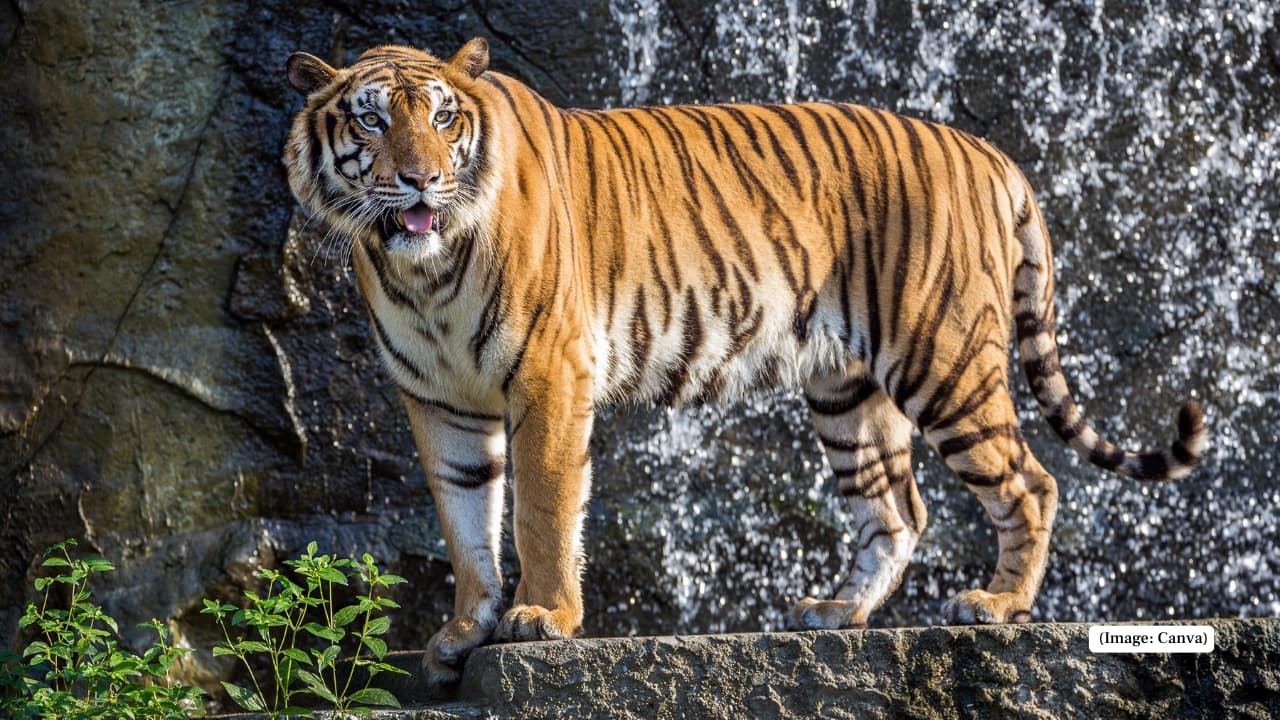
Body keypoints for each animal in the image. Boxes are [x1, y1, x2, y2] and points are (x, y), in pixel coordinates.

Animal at [283, 38, 1208, 686]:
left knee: (1030, 483)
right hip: (848, 394)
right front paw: (462, 633)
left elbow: (542, 509)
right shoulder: (438, 401)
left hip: (943, 360)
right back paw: (837, 613)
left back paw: (998, 605)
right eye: (371, 119)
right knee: (897, 509)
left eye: (444, 119)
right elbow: (466, 519)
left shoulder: (549, 374)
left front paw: (542, 617)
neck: (423, 273)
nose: (421, 181)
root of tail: (987, 152)